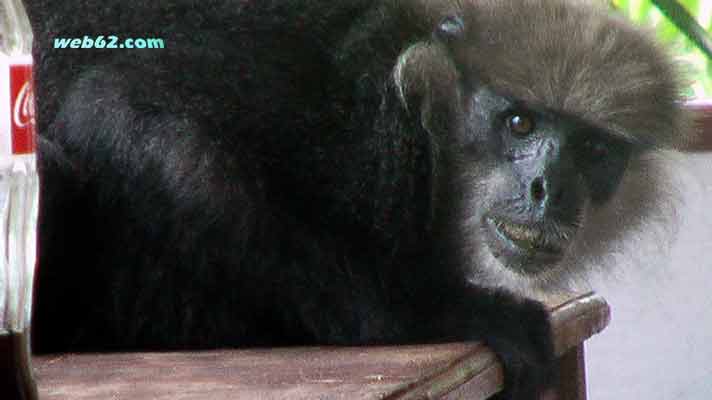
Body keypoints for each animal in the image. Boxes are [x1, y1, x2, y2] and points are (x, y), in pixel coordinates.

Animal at [26, 0, 688, 398]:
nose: (546, 189)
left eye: (594, 152)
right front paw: (447, 311)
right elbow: (126, 111)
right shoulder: (333, 107)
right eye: (520, 124)